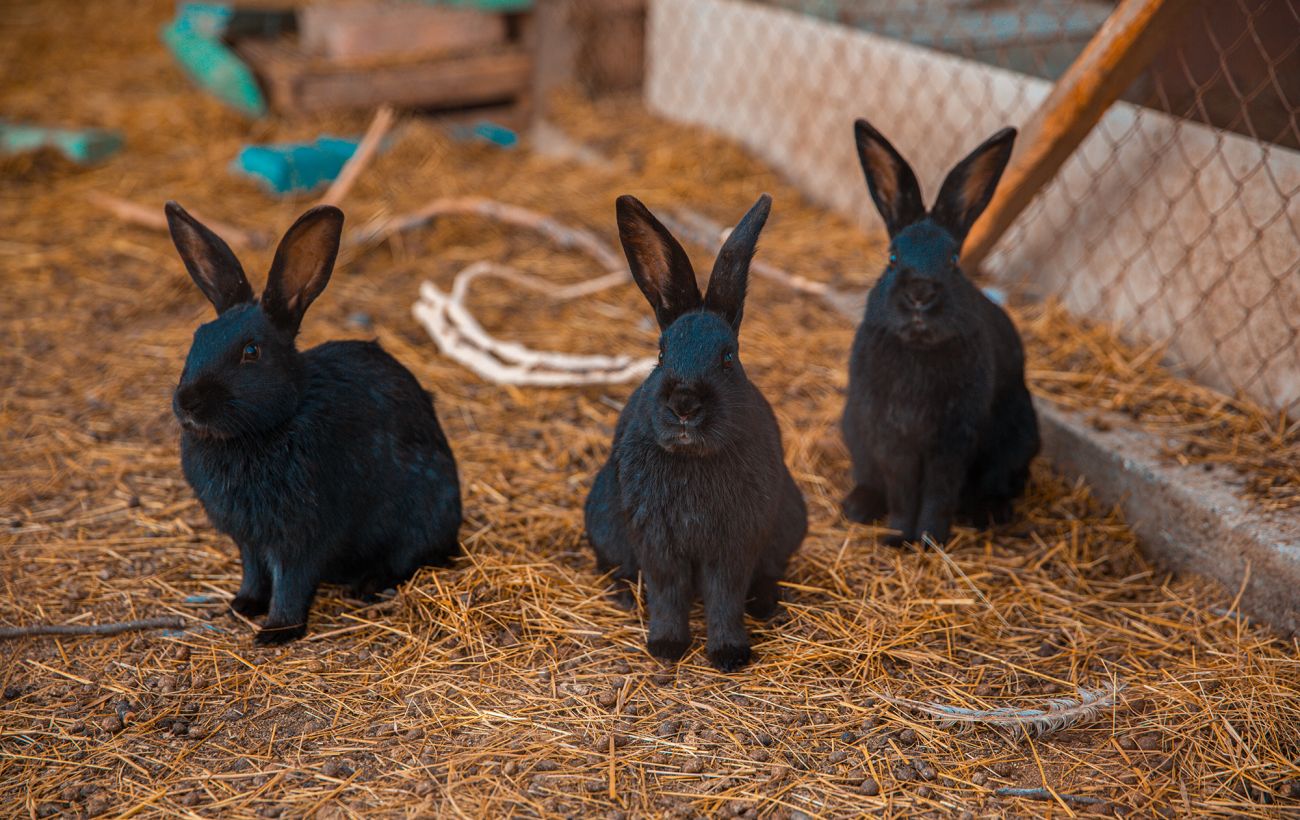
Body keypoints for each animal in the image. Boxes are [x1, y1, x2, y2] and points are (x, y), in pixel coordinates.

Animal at [166, 202, 462, 644]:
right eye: (198, 337)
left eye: (251, 351)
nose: (187, 403)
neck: (266, 429)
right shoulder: (249, 539)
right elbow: (254, 573)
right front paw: (242, 606)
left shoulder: (302, 534)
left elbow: (291, 580)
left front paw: (276, 630)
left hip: (422, 513)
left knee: (409, 560)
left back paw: (368, 585)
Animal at [585, 193, 806, 675]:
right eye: (661, 354)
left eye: (728, 357)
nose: (684, 405)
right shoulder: (656, 541)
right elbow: (668, 594)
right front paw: (666, 647)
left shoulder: (735, 543)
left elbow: (725, 597)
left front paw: (729, 654)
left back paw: (766, 605)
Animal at [837, 118, 1040, 548]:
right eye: (892, 257)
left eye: (953, 260)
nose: (920, 294)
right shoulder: (892, 437)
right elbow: (902, 489)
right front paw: (898, 536)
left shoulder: (952, 441)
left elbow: (938, 492)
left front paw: (930, 540)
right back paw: (858, 507)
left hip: (1018, 437)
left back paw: (990, 513)